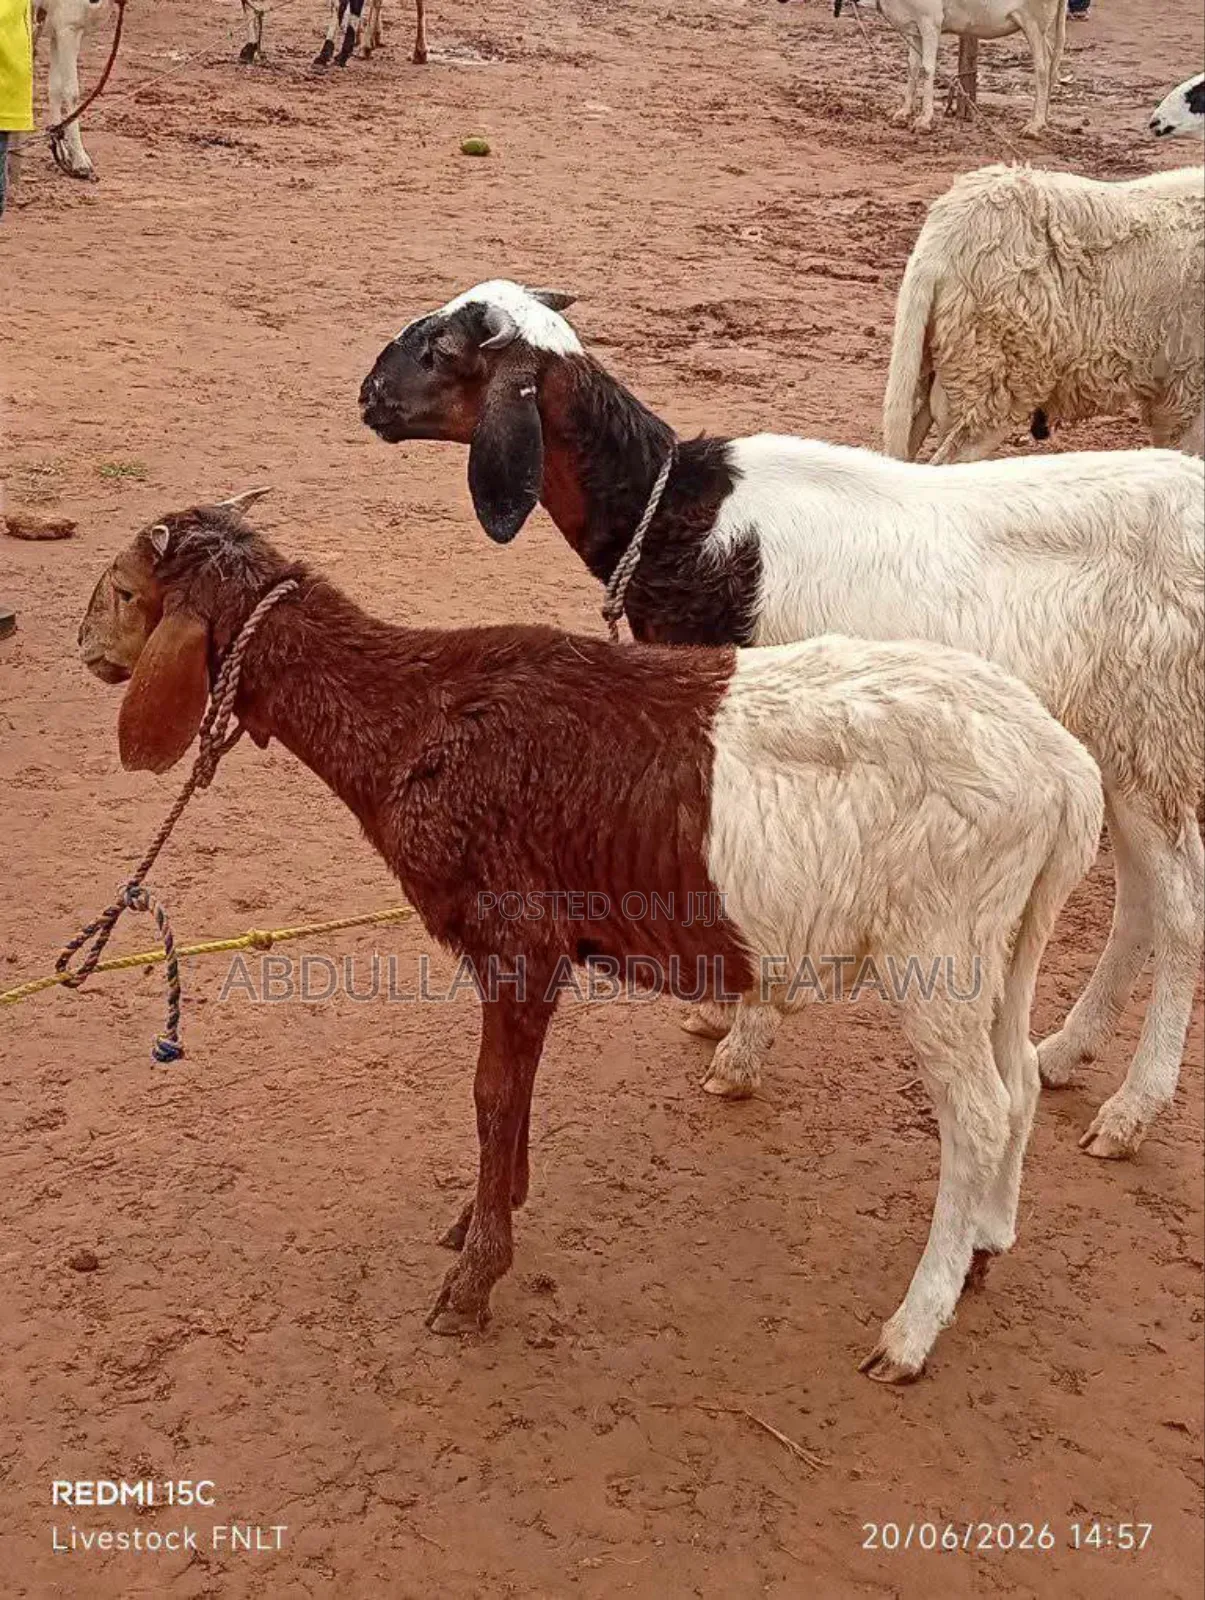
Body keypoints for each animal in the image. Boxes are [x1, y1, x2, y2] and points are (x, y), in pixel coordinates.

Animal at [77, 501, 1102, 1381]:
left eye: (124, 592)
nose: (82, 649)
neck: (411, 716)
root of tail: (1062, 768)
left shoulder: (517, 938)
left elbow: (491, 1094)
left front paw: (472, 1279)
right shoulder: (538, 954)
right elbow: (509, 1092)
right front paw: (485, 1214)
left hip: (939, 942)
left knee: (978, 1112)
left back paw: (911, 1330)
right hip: (1007, 937)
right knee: (1016, 1082)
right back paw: (983, 1247)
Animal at [358, 280, 1205, 1159]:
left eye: (442, 351)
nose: (368, 398)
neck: (675, 513)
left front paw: (740, 1045)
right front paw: (720, 1014)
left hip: (1155, 726)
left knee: (1181, 906)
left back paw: (1133, 1106)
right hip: (1118, 742)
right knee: (1141, 896)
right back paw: (1066, 1052)